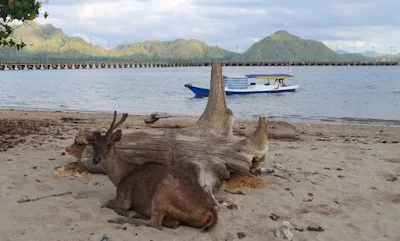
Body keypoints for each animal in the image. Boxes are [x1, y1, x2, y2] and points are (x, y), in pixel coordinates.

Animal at [84, 111, 219, 230]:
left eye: (109, 144)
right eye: (94, 145)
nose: (96, 159)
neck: (120, 177)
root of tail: (210, 212)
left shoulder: (124, 197)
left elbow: (105, 203)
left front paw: (122, 212)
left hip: (162, 191)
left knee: (155, 223)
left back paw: (120, 219)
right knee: (172, 223)